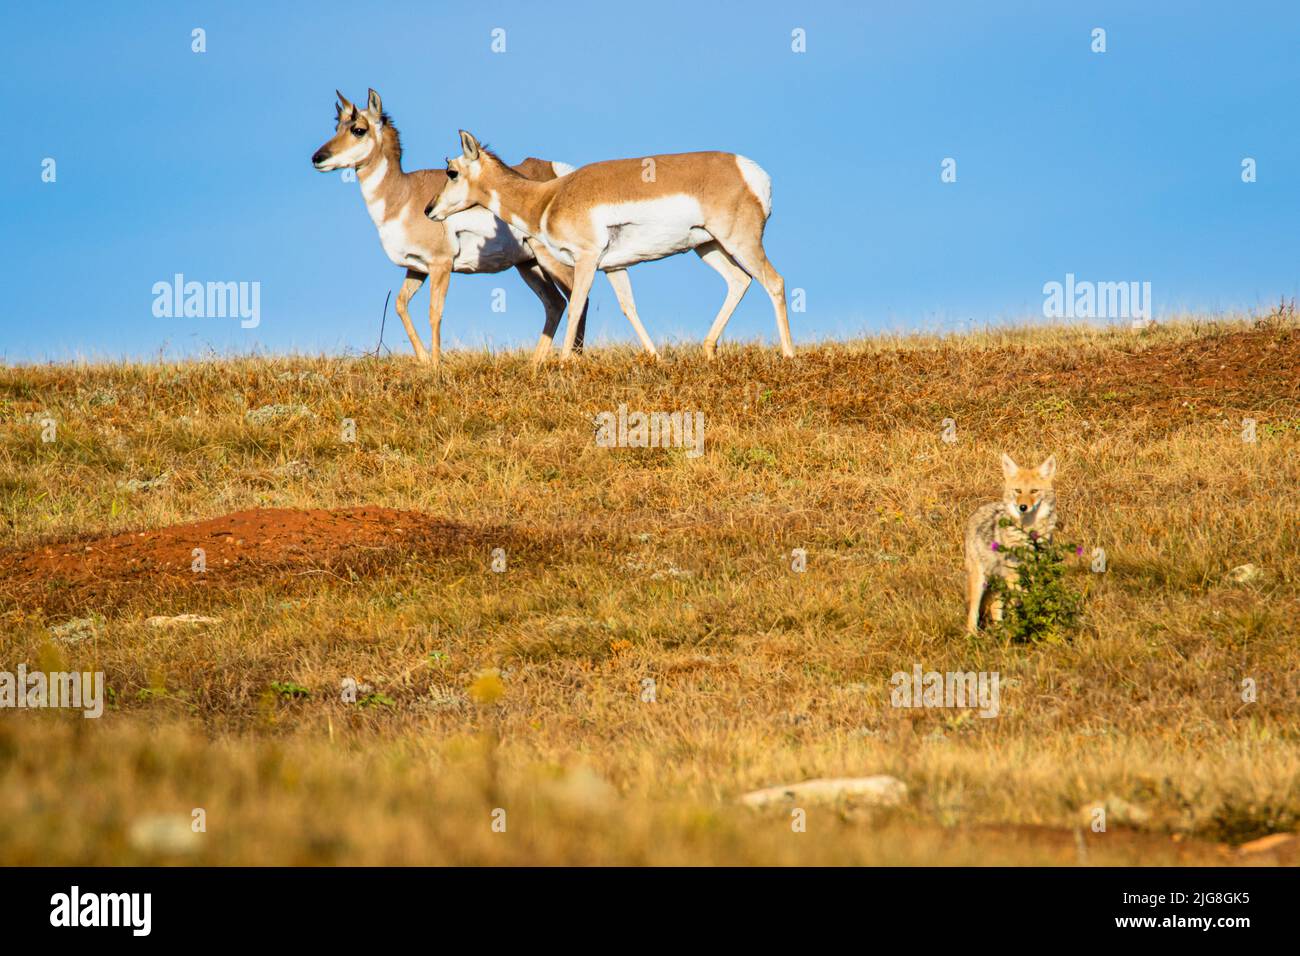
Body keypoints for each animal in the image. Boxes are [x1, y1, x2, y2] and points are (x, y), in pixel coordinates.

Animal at [312, 90, 587, 366]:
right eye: (337, 127)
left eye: (358, 129)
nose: (317, 158)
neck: (402, 195)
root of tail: (556, 172)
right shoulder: (417, 268)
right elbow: (400, 304)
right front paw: (424, 359)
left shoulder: (440, 264)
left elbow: (435, 313)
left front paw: (435, 364)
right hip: (528, 264)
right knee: (556, 303)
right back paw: (536, 362)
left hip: (551, 259)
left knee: (576, 297)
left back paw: (573, 357)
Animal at [426, 132, 790, 361]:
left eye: (451, 171)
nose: (429, 209)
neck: (547, 199)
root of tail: (749, 171)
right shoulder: (615, 265)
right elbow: (629, 307)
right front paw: (656, 358)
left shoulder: (586, 259)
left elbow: (575, 305)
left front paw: (563, 364)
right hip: (709, 246)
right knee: (739, 281)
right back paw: (708, 349)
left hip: (739, 241)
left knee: (774, 282)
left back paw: (787, 355)